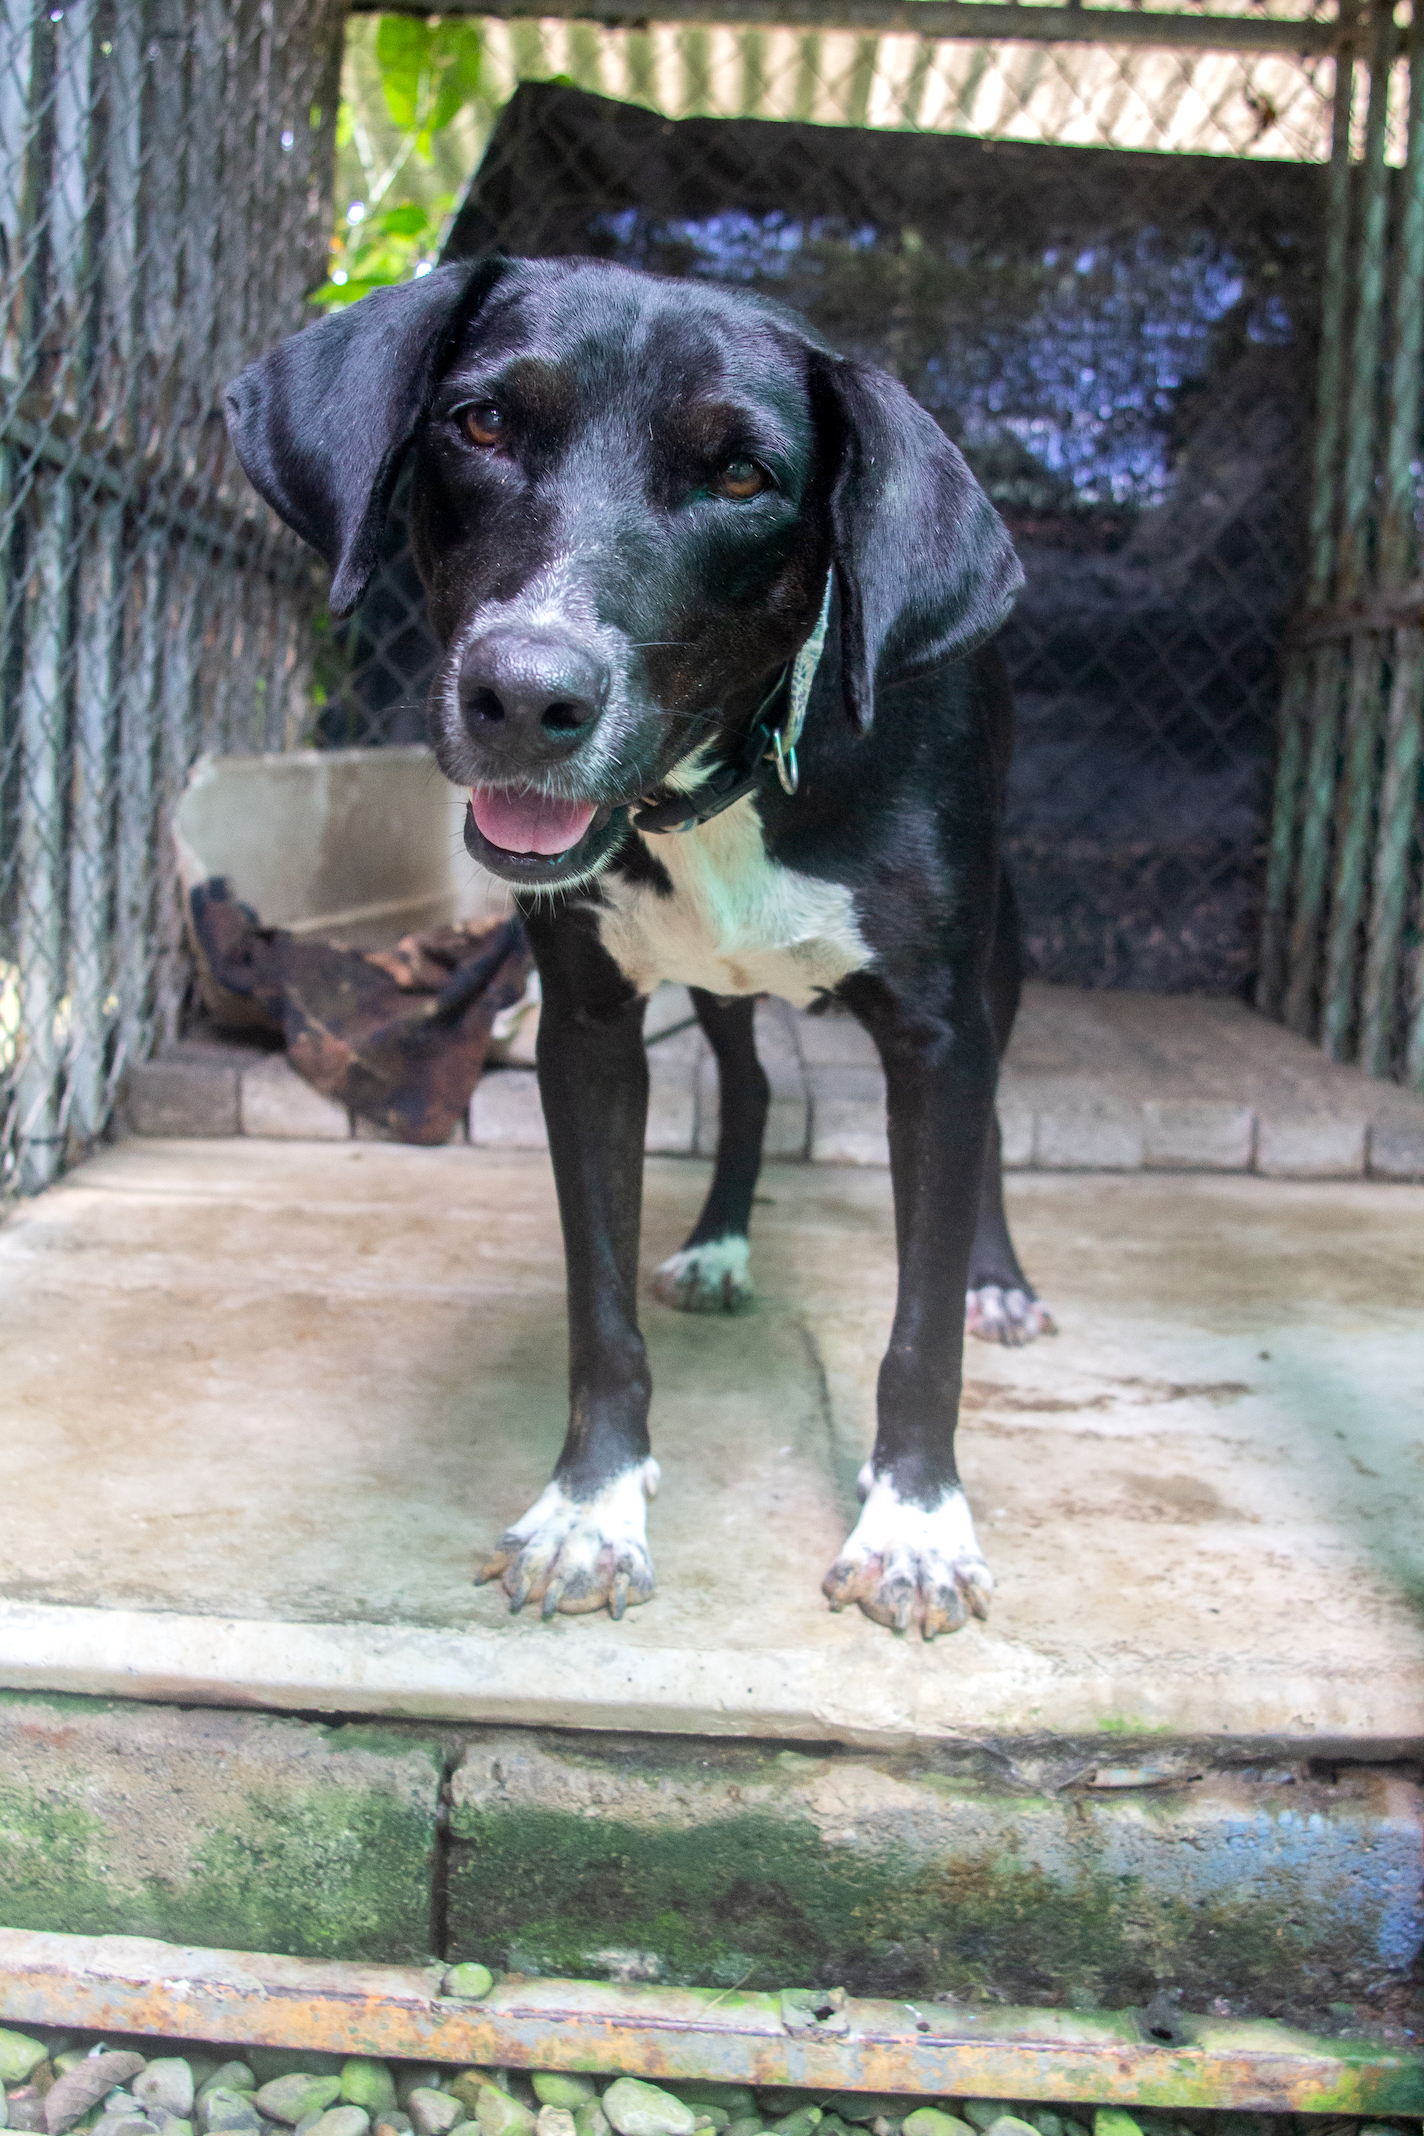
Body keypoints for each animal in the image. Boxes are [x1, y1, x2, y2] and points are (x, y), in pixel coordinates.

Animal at [228, 262, 1054, 1631]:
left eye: (742, 477)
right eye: (480, 424)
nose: (523, 695)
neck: (725, 778)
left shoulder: (937, 1033)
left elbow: (921, 1322)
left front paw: (916, 1523)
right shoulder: (589, 1028)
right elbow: (599, 1310)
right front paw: (588, 1508)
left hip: (1002, 946)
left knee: (982, 1121)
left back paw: (999, 1277)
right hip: (715, 978)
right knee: (752, 1086)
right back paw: (718, 1243)